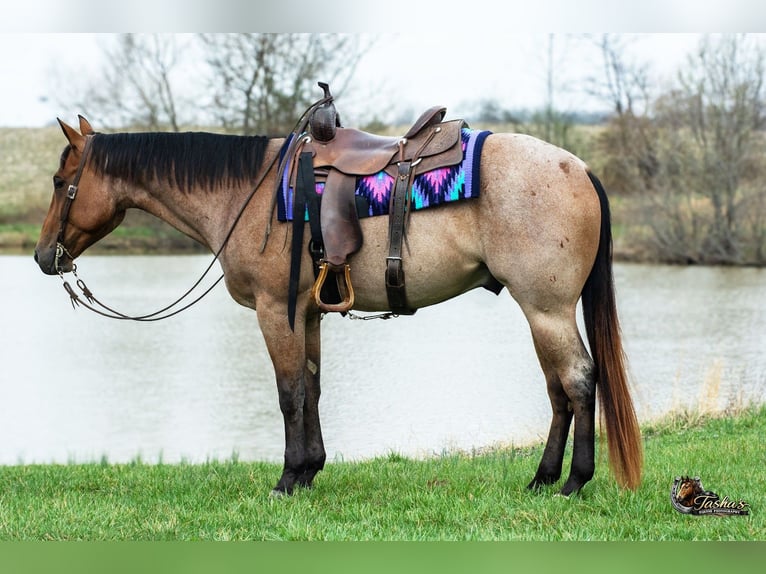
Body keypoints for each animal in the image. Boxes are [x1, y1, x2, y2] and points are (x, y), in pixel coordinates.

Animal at [34, 114, 643, 497]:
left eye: (62, 182)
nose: (43, 256)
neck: (248, 194)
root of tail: (579, 168)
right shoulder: (306, 314)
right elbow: (312, 388)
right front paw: (310, 471)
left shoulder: (274, 311)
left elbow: (288, 394)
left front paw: (287, 479)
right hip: (541, 313)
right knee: (558, 389)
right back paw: (542, 479)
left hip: (547, 309)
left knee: (579, 380)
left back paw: (573, 481)